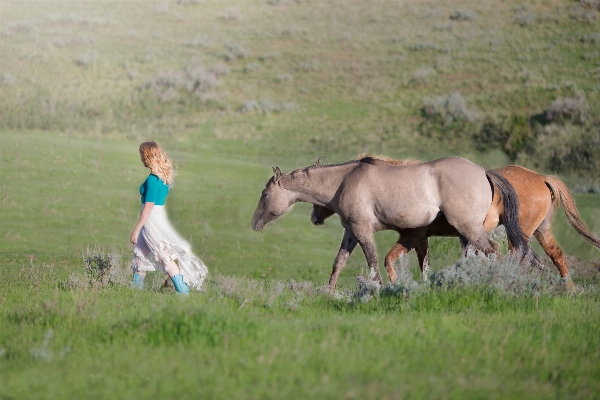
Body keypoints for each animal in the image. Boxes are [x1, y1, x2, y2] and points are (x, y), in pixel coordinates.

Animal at [252, 155, 536, 290]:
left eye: (265, 194)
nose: (254, 223)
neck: (346, 180)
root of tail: (483, 171)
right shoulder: (351, 232)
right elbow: (339, 263)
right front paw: (329, 292)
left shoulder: (363, 231)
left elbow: (373, 262)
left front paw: (378, 290)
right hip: (466, 234)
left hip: (469, 229)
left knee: (494, 252)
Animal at [312, 161, 596, 282]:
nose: (314, 217)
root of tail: (541, 177)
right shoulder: (421, 239)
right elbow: (423, 264)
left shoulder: (414, 236)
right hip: (539, 230)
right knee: (556, 256)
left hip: (520, 233)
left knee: (520, 258)